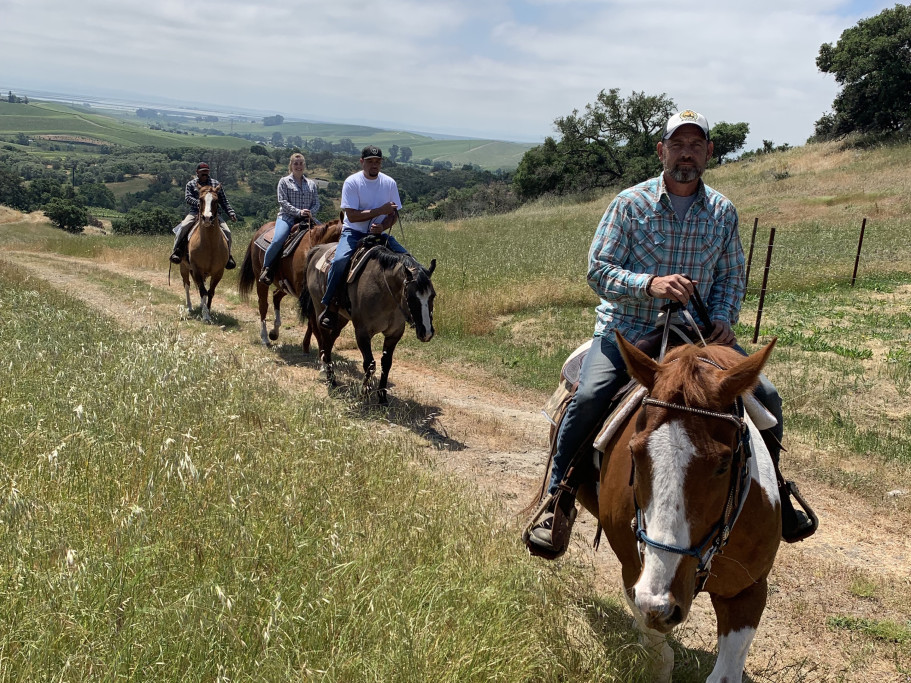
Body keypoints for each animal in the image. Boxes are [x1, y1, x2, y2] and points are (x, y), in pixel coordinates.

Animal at [178, 183, 228, 324]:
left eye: (216, 200)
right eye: (200, 199)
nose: (207, 218)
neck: (209, 245)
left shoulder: (218, 272)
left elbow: (210, 292)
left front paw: (208, 311)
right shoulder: (196, 269)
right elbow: (202, 291)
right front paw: (205, 315)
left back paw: (201, 305)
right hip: (184, 267)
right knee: (187, 285)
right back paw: (189, 307)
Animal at [237, 214, 344, 348]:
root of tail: (258, 232)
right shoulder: (304, 294)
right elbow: (313, 322)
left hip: (285, 286)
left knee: (276, 296)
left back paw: (274, 332)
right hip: (260, 280)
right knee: (263, 305)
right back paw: (265, 338)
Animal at [302, 239, 438, 404]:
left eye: (432, 295)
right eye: (411, 297)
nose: (427, 332)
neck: (385, 292)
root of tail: (317, 249)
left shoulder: (394, 334)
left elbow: (386, 363)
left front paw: (382, 397)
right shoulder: (362, 332)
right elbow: (370, 364)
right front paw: (363, 394)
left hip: (340, 319)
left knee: (329, 343)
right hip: (319, 309)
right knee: (324, 341)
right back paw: (331, 380)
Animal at [596, 336, 780, 683]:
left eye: (723, 465)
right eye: (634, 453)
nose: (661, 603)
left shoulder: (748, 592)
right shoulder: (633, 576)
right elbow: (658, 658)